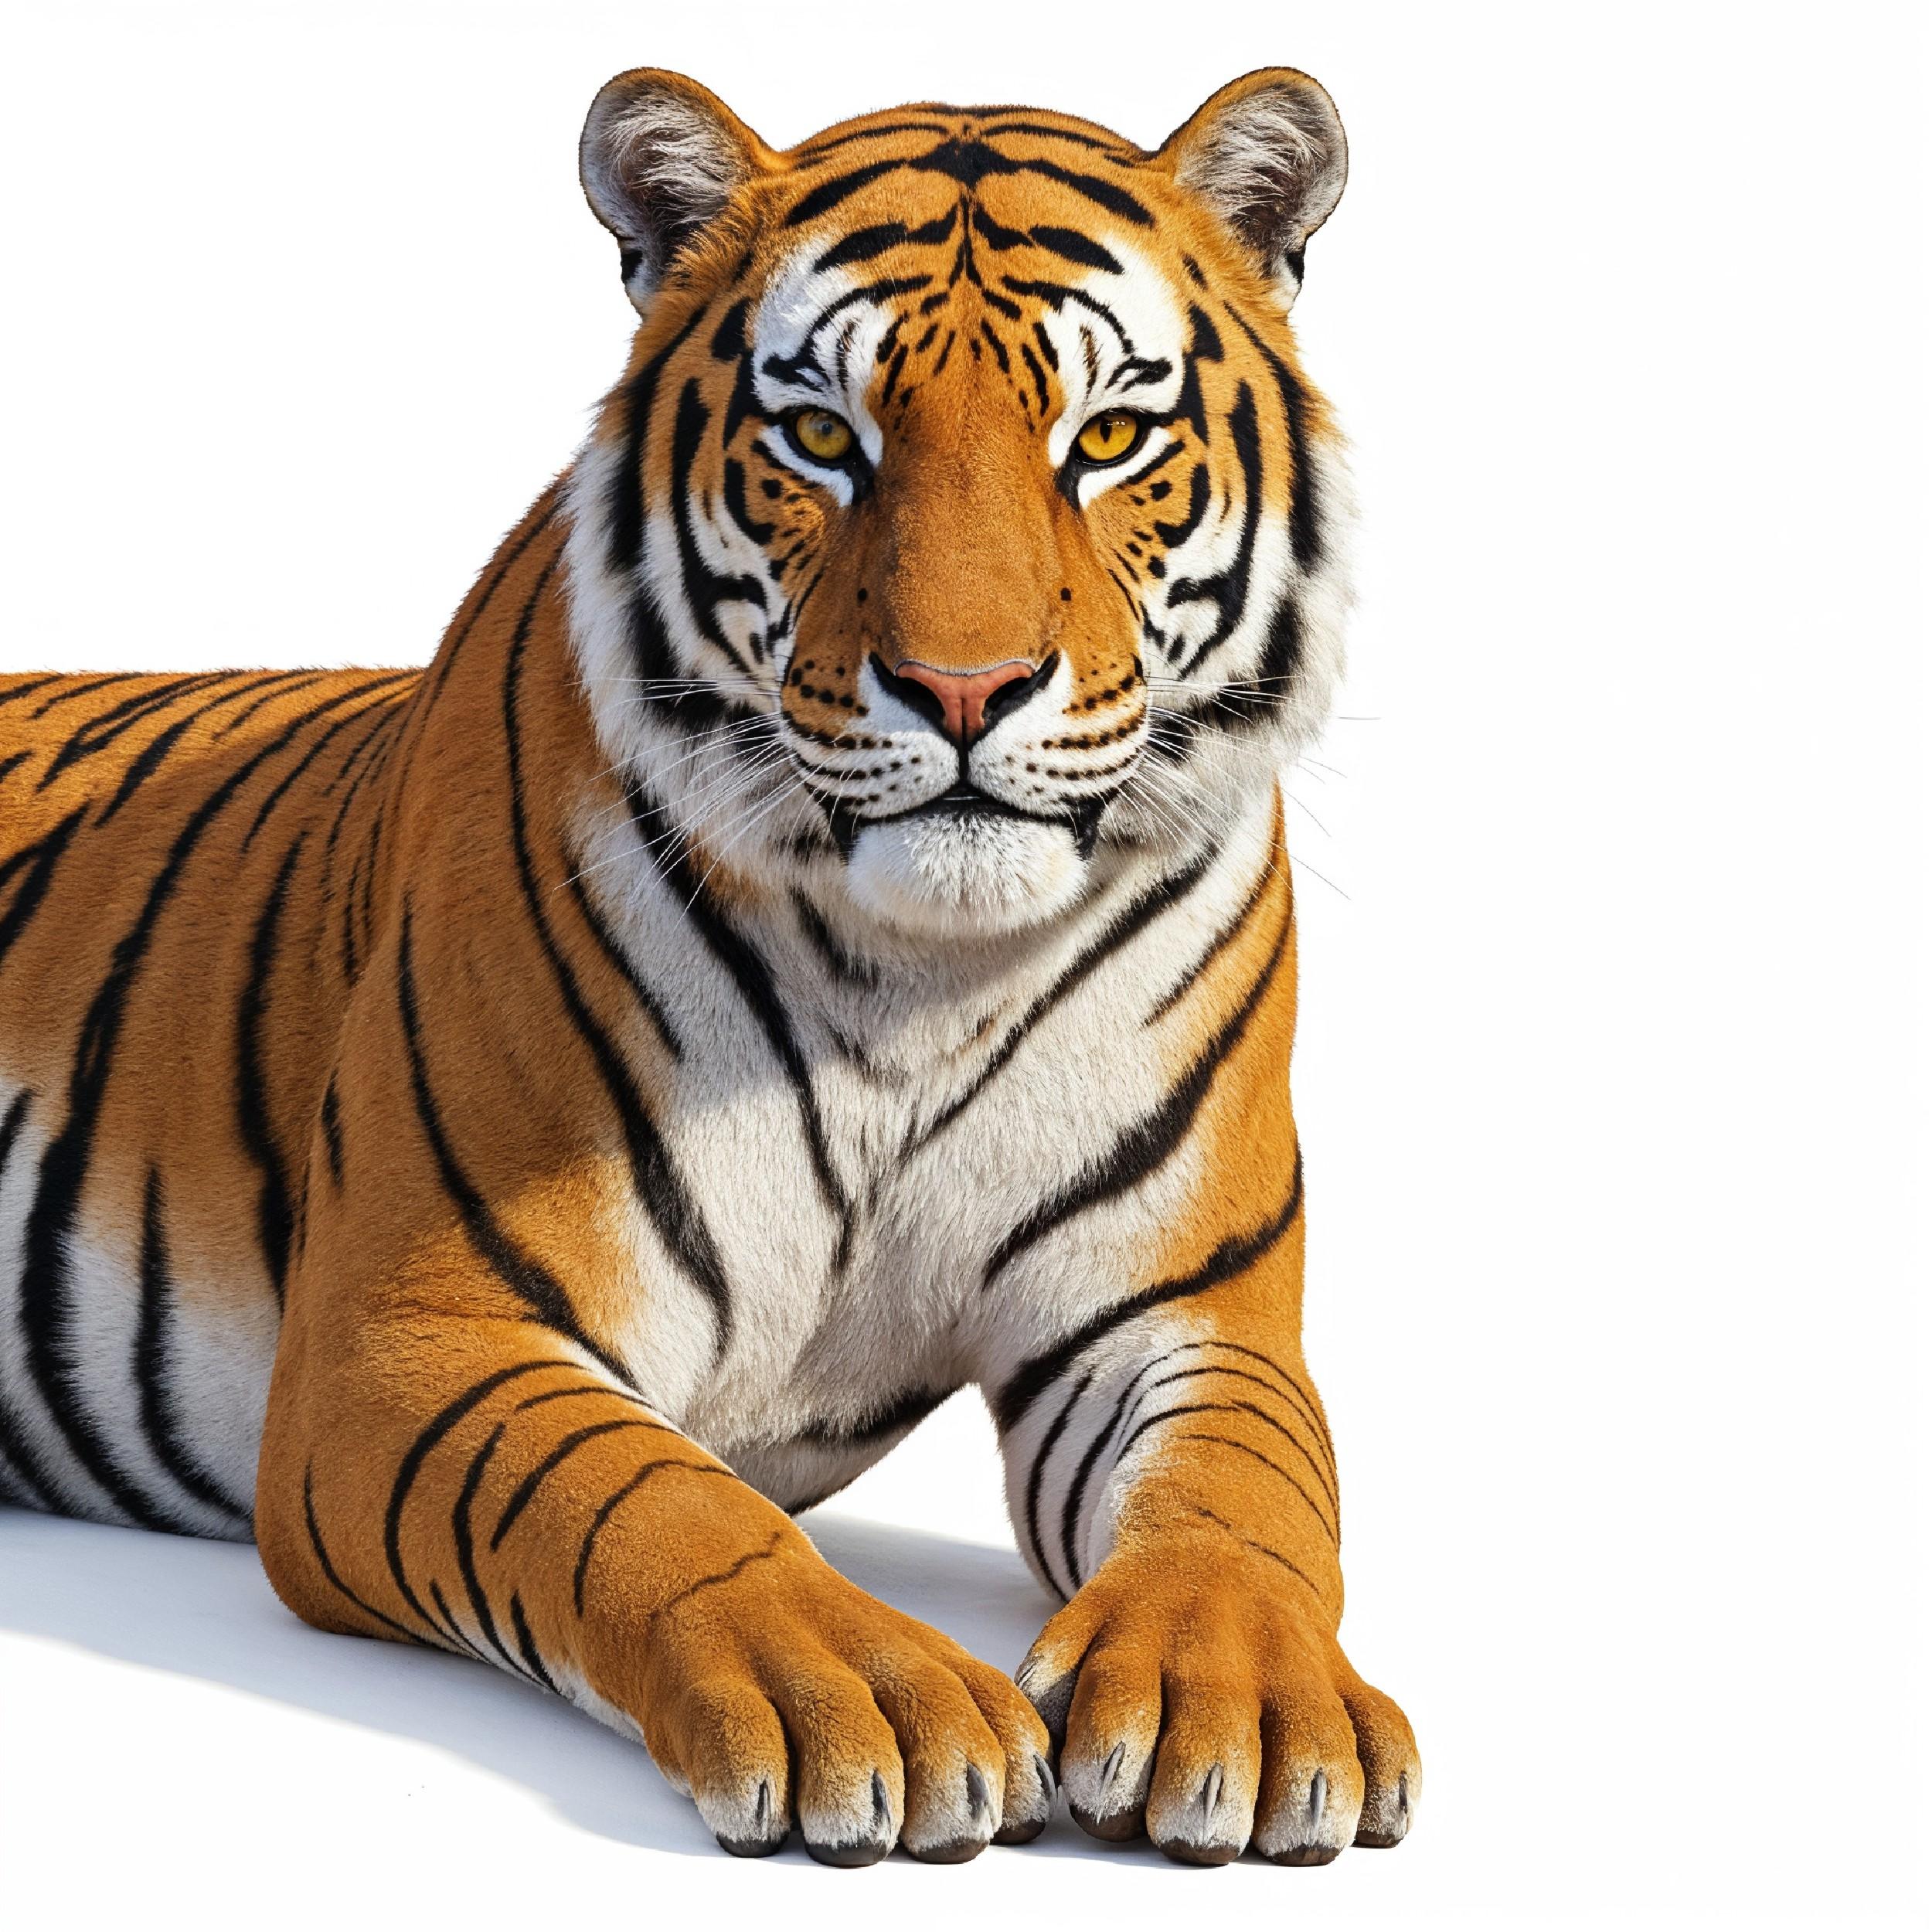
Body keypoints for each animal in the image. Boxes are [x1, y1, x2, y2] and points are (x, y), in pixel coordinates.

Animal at [0, 66, 1419, 1866]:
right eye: (821, 437)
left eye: (1105, 439)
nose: (966, 690)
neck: (917, 973)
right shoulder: (416, 1329)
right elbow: (649, 1504)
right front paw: (875, 1696)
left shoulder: (1183, 1306)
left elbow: (1241, 1497)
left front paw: (1241, 1697)